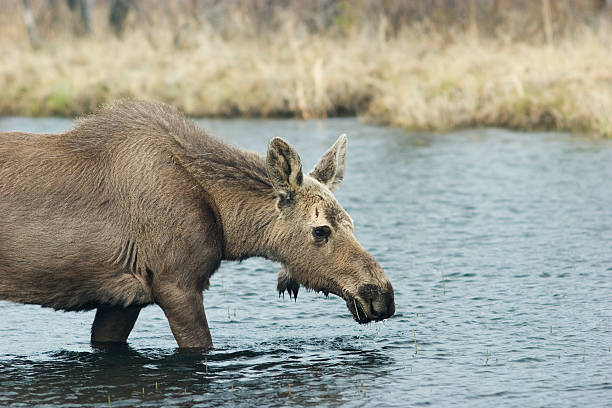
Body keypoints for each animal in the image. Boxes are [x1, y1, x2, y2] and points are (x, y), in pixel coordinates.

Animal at [1, 99, 396, 348]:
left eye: (351, 223)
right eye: (320, 230)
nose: (381, 295)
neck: (226, 224)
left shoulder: (121, 298)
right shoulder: (176, 283)